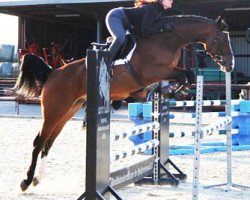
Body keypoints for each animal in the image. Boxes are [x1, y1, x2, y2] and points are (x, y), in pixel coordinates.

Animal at [14, 15, 234, 191]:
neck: (168, 40)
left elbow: (187, 75)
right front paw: (172, 90)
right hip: (54, 111)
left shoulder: (166, 71)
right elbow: (183, 75)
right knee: (39, 142)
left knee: (48, 143)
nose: (230, 65)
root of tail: (53, 72)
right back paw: (26, 181)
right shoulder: (153, 71)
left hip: (67, 111)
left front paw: (170, 91)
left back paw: (37, 179)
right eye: (222, 39)